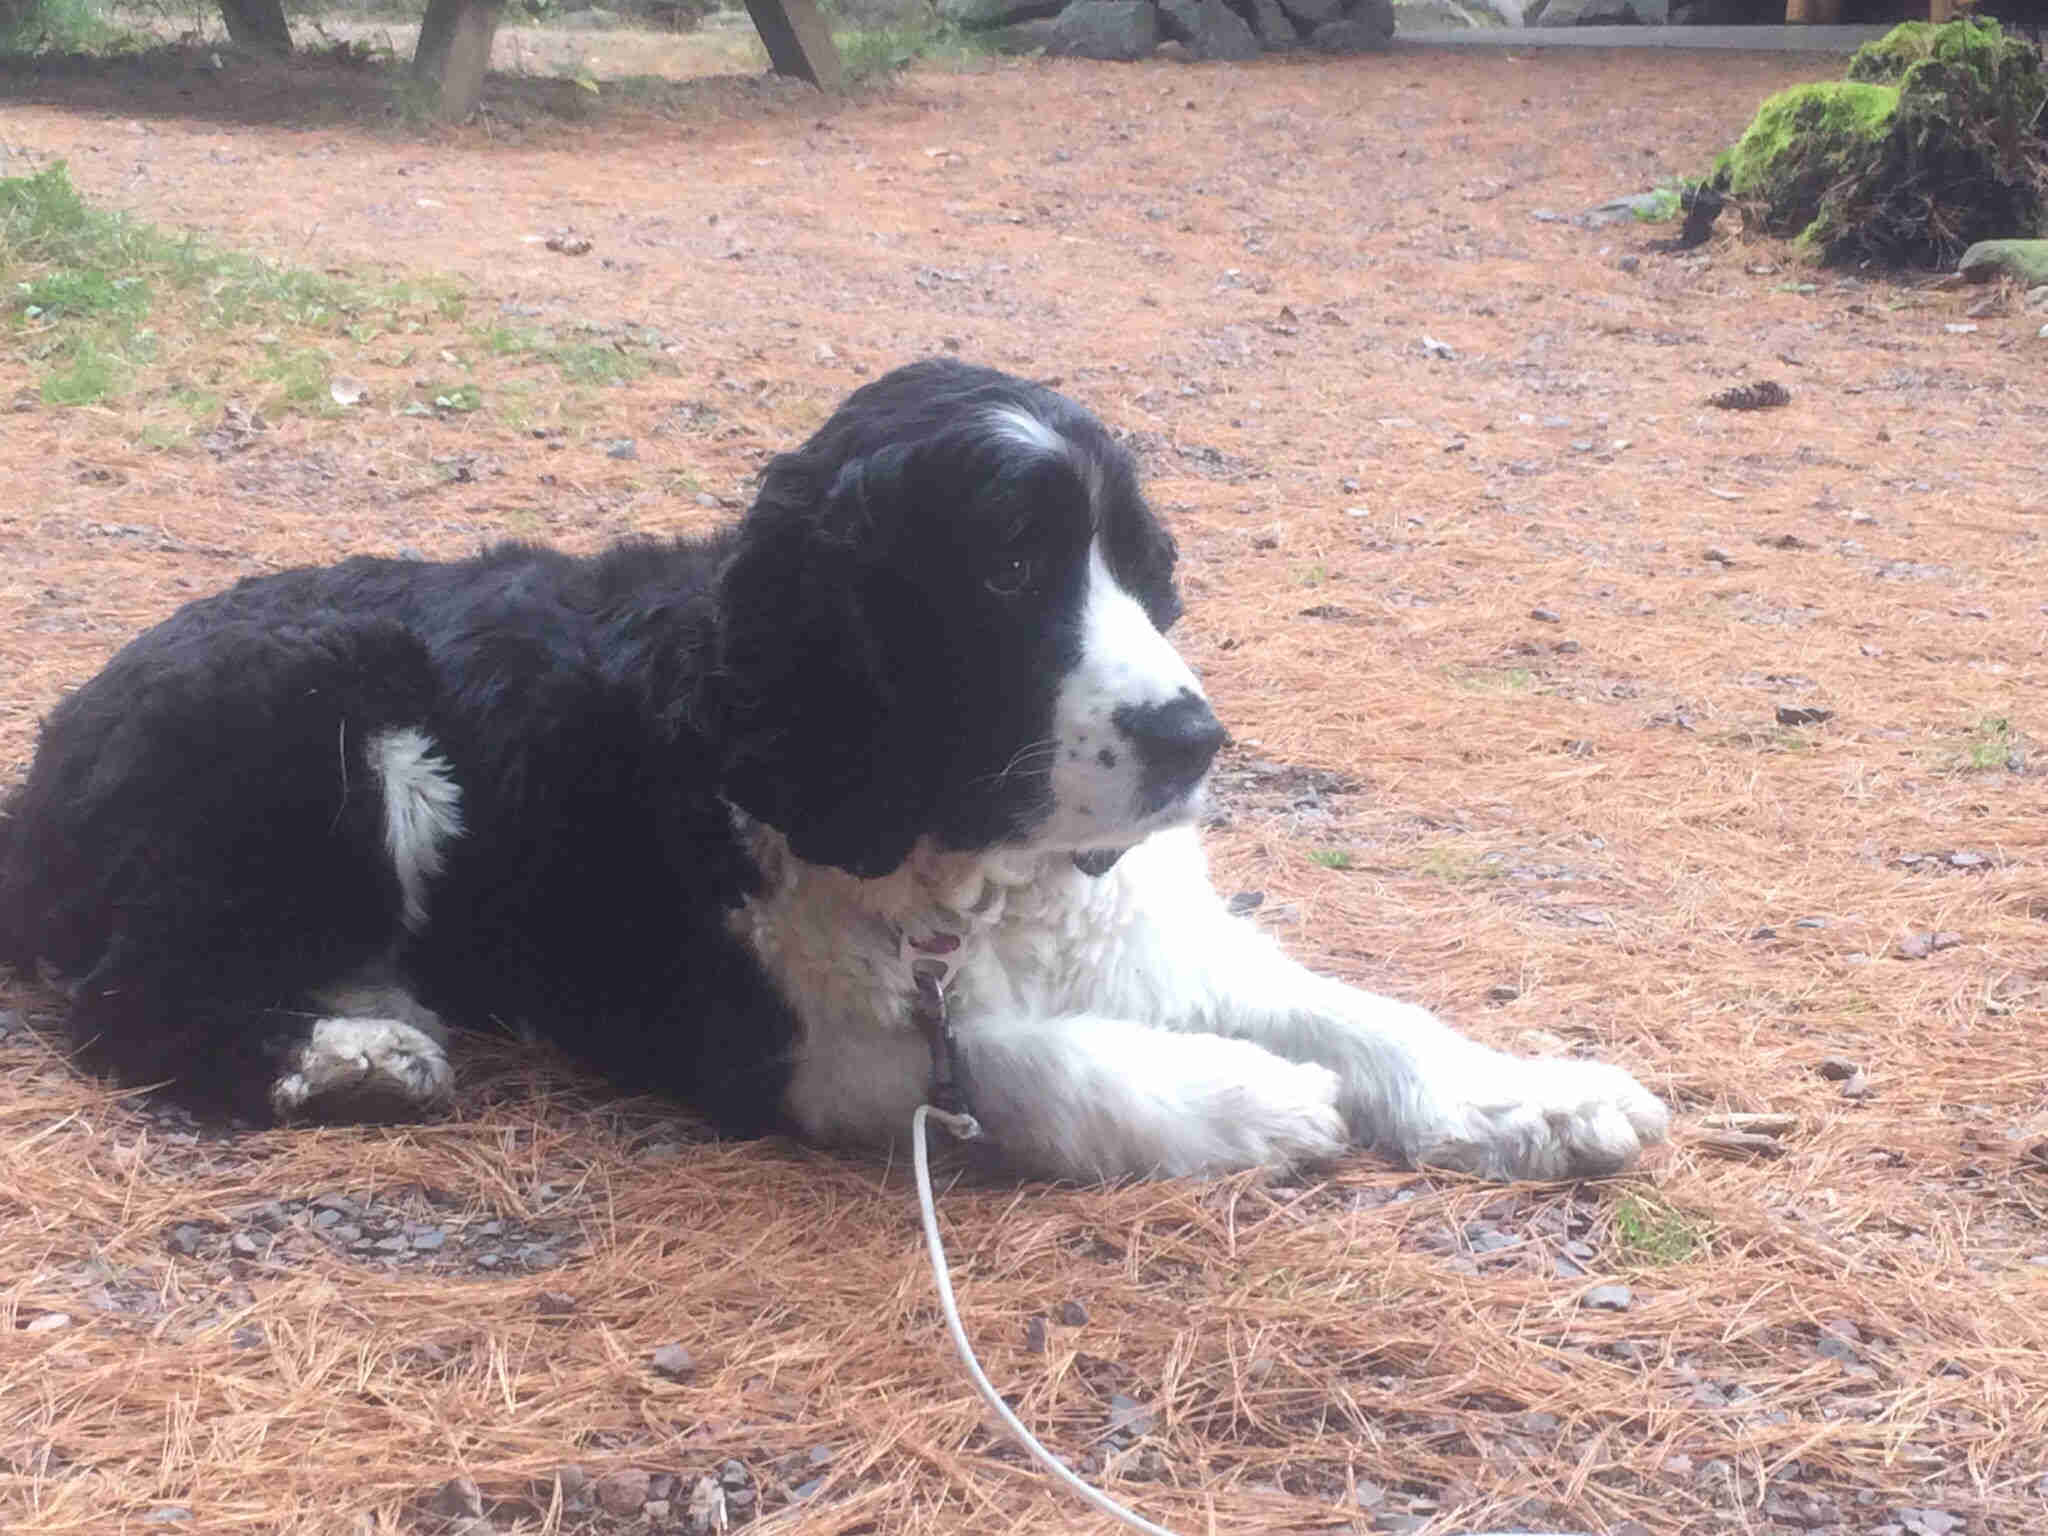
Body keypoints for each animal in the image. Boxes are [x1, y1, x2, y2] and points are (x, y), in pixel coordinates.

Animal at [0, 366, 1662, 1187]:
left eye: (1144, 564)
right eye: (1007, 564)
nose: (1196, 742)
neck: (958, 867)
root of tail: (42, 774)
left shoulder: (1143, 928)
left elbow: (1355, 1008)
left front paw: (1525, 1094)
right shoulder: (751, 1034)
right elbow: (999, 1063)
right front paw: (1241, 1103)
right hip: (335, 728)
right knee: (126, 1000)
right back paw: (344, 1056)